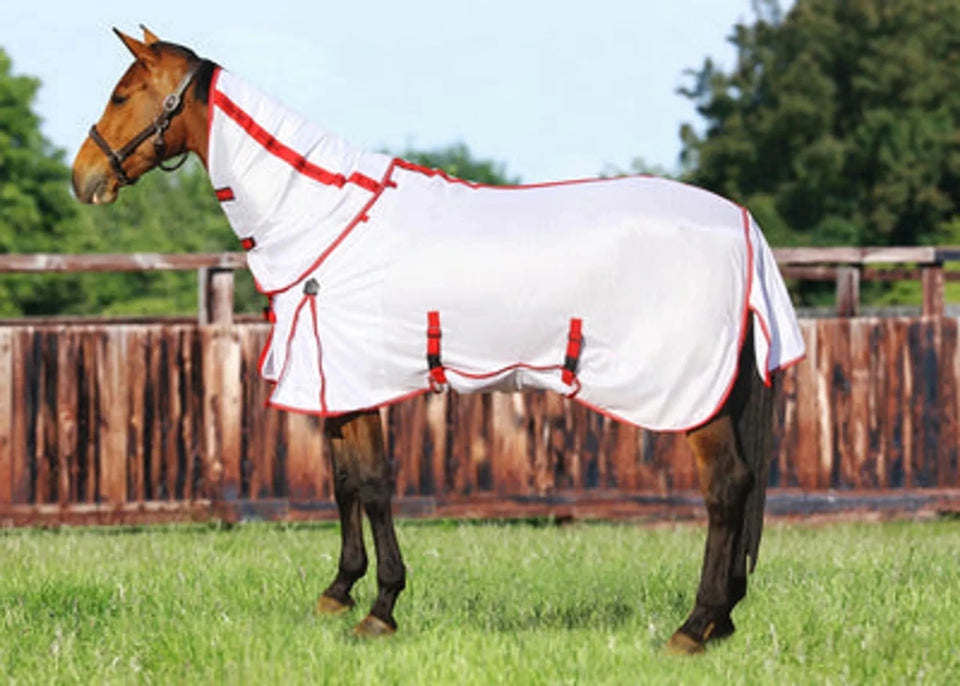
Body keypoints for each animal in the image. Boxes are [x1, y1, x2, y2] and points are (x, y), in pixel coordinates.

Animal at [72, 27, 805, 654]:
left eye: (121, 94)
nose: (83, 178)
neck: (324, 217)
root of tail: (741, 225)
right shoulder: (334, 381)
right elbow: (343, 482)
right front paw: (339, 592)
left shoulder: (358, 378)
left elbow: (373, 484)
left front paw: (381, 609)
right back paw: (722, 620)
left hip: (693, 397)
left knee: (725, 488)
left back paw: (694, 626)